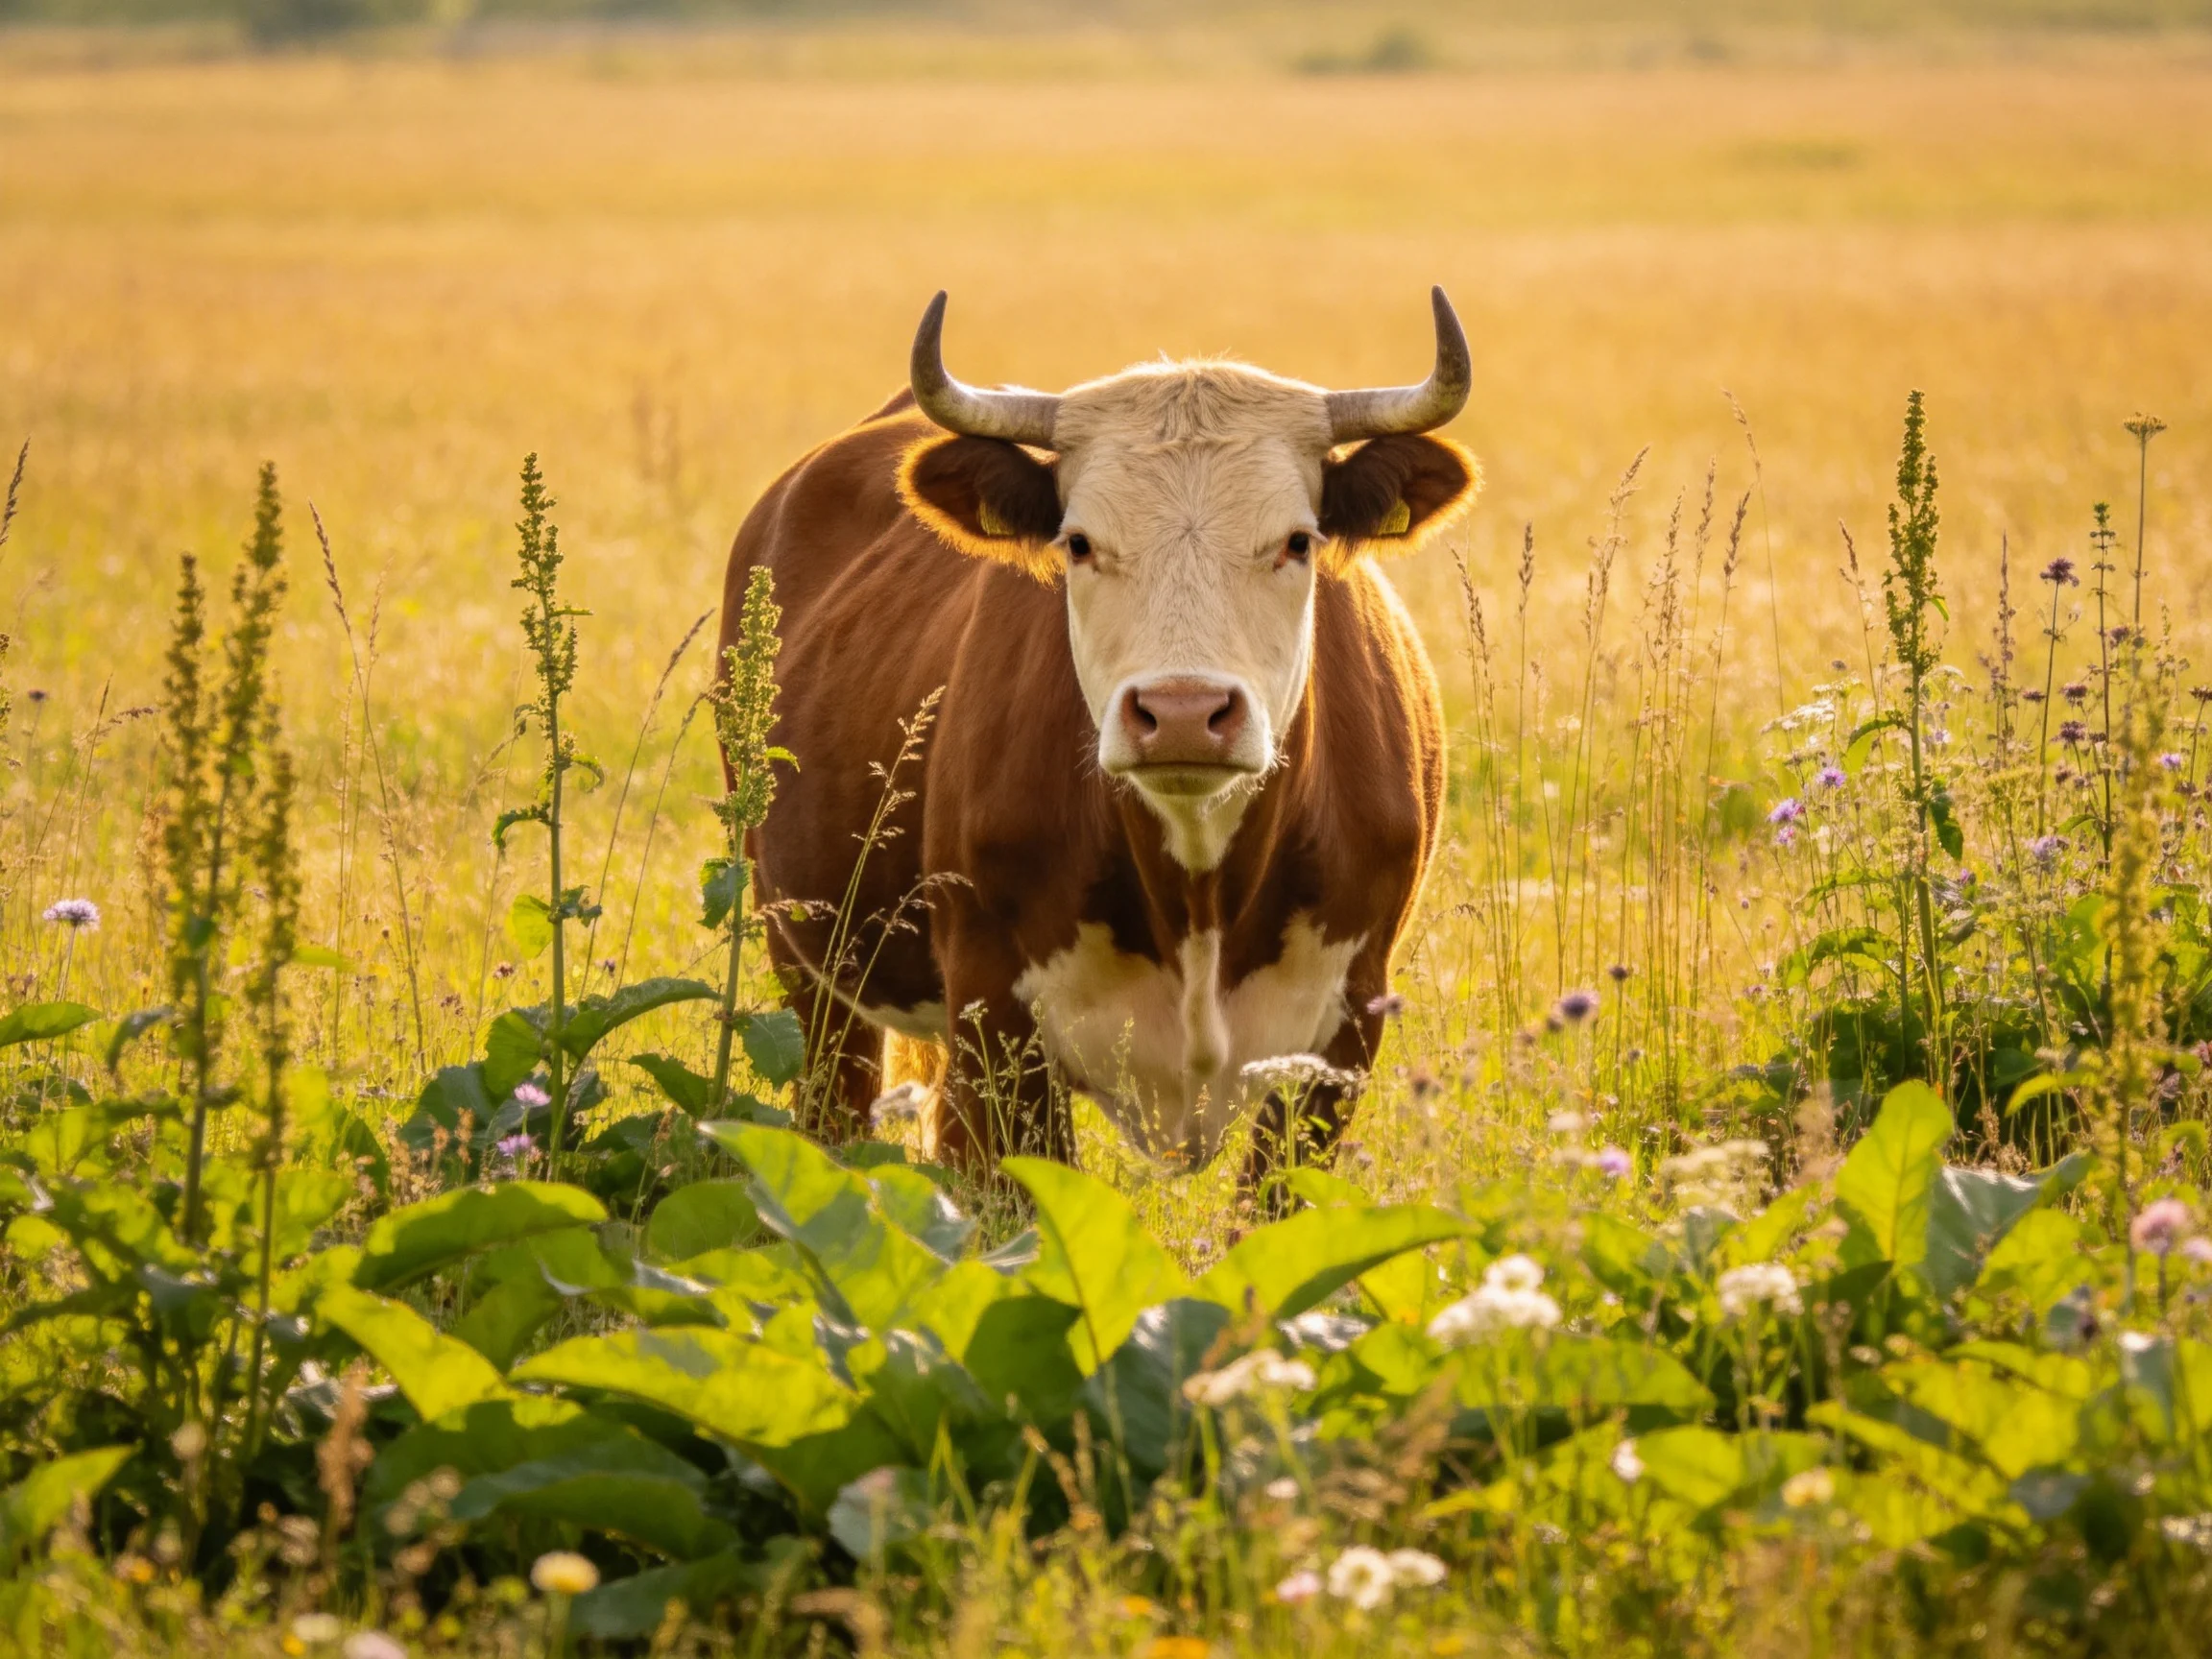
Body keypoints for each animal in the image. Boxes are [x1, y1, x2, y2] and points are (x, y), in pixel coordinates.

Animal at [718, 288, 1476, 1188]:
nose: (1183, 711)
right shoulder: (994, 1024)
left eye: (1297, 541)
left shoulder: (1345, 1032)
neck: (1196, 892)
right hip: (807, 965)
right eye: (1078, 543)